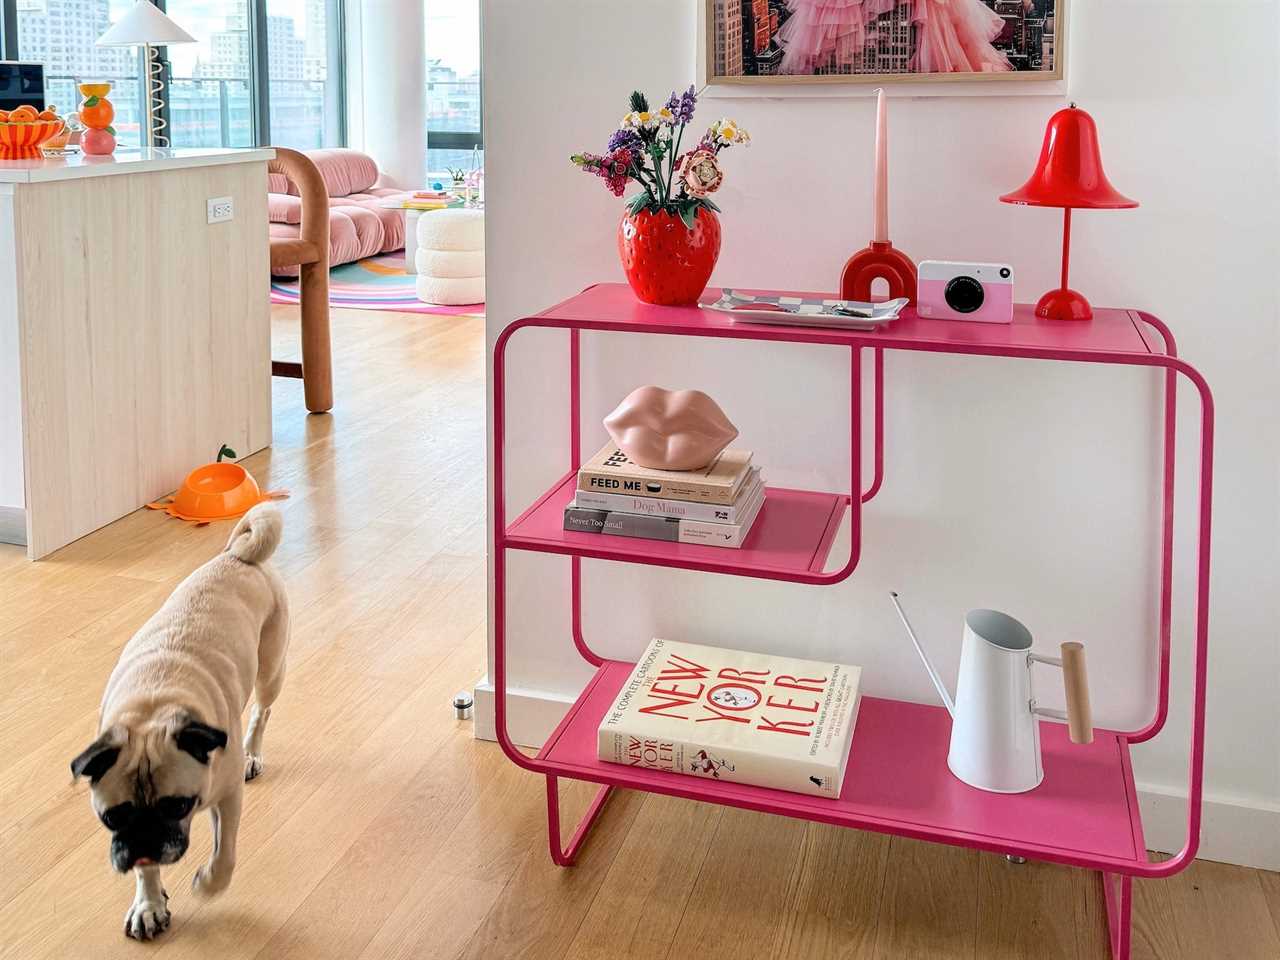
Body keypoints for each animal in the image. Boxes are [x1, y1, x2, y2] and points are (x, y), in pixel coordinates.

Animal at [72, 506, 290, 942]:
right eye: (112, 817)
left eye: (178, 806)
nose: (146, 840)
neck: (154, 707)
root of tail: (236, 558)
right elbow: (146, 871)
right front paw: (149, 904)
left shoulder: (226, 798)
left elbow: (225, 855)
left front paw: (208, 884)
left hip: (271, 671)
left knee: (262, 712)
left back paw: (252, 755)